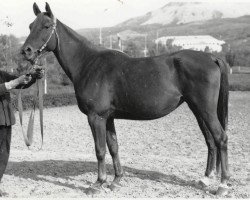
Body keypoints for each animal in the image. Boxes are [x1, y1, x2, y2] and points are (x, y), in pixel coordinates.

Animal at [21, 2, 230, 197]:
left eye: (46, 26)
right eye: (30, 25)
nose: (26, 51)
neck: (88, 63)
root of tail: (212, 57)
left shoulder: (96, 117)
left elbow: (100, 150)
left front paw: (98, 184)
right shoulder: (108, 118)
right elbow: (113, 147)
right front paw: (116, 181)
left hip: (205, 110)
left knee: (220, 138)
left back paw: (223, 185)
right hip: (198, 110)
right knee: (210, 141)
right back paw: (205, 179)